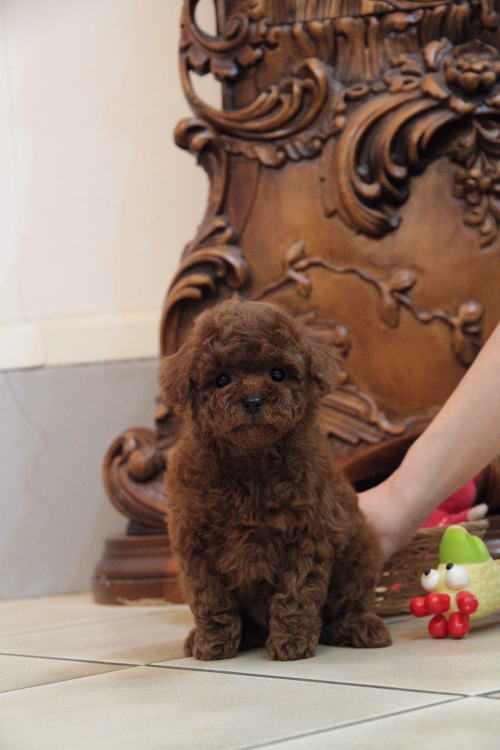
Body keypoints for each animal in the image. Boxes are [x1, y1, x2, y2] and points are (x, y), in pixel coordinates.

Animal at [159, 299, 392, 661]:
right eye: (221, 379)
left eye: (278, 374)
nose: (253, 401)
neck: (251, 460)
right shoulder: (194, 541)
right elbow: (210, 598)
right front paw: (212, 644)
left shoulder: (308, 535)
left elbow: (297, 592)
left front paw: (291, 643)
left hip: (360, 549)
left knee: (350, 602)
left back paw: (360, 627)